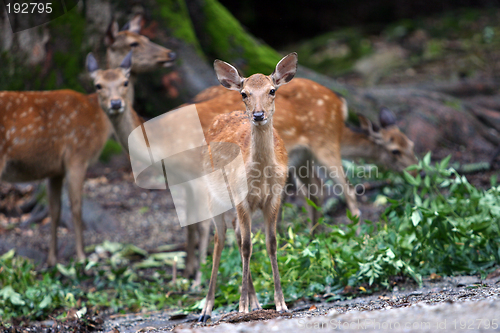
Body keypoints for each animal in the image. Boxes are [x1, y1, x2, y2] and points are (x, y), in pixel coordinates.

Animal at [0, 14, 176, 264]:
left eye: (145, 36)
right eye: (133, 43)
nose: (170, 54)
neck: (98, 121)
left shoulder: (54, 169)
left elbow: (55, 210)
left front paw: (52, 260)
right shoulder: (77, 155)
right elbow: (76, 207)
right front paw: (82, 256)